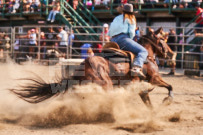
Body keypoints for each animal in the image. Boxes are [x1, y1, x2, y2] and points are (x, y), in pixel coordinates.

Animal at [10, 29, 173, 107]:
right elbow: (169, 86)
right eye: (162, 39)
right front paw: (167, 100)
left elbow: (149, 104)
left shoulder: (142, 88)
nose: (170, 53)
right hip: (106, 85)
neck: (147, 56)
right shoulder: (154, 78)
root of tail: (82, 68)